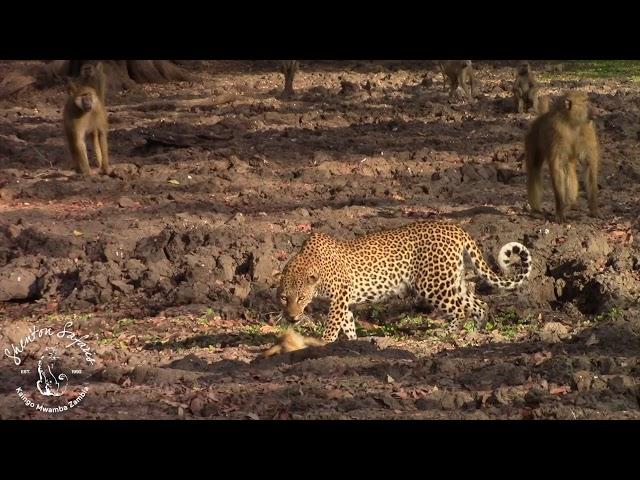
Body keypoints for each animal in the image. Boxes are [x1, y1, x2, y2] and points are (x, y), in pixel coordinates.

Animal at [278, 221, 532, 342]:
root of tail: (454, 227)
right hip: (452, 279)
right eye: (283, 298)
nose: (291, 318)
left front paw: (325, 343)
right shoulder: (345, 301)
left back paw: (444, 334)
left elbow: (333, 324)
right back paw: (476, 333)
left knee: (462, 310)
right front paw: (352, 343)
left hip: (433, 283)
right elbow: (347, 323)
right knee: (479, 304)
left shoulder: (339, 296)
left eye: (300, 298)